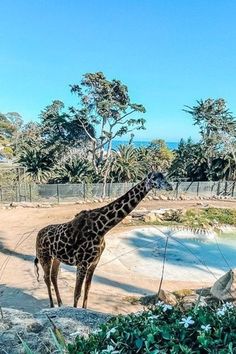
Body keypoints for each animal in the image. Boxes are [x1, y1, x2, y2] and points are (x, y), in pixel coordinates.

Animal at [34, 173, 172, 308]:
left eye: (164, 176)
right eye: (154, 178)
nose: (170, 186)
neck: (101, 229)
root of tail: (38, 235)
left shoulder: (94, 262)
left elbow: (87, 289)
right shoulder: (82, 262)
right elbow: (77, 293)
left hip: (56, 257)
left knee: (53, 276)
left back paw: (60, 303)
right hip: (44, 256)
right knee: (46, 277)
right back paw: (52, 305)